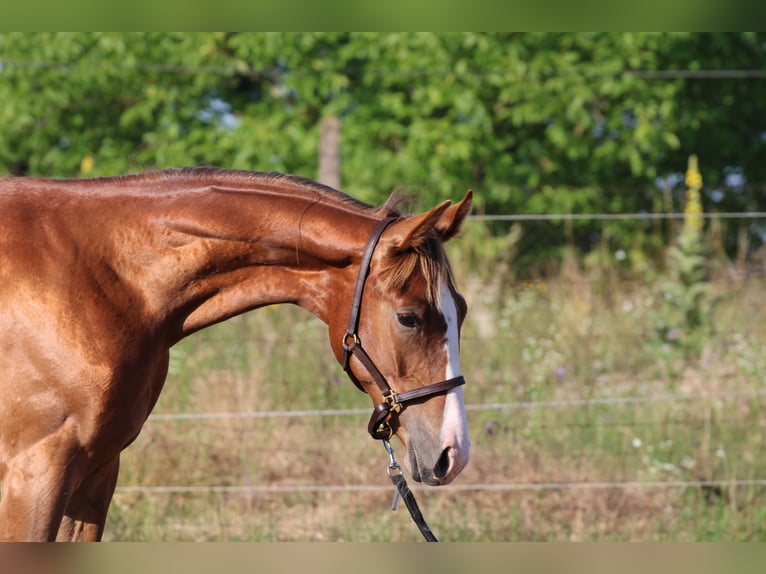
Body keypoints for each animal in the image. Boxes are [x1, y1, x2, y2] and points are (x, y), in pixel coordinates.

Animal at [0, 169, 474, 544]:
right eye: (409, 318)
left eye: (462, 310)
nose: (454, 454)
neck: (99, 276)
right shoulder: (36, 474)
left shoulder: (96, 473)